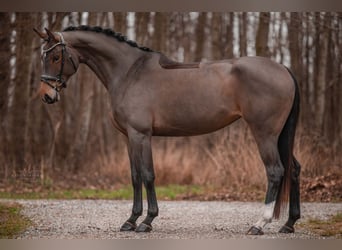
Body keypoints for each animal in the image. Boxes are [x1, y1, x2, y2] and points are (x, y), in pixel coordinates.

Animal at [34, 25, 302, 234]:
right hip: (280, 136)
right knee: (293, 169)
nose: (46, 95)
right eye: (43, 57)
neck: (129, 72)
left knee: (275, 171)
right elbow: (134, 176)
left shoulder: (141, 135)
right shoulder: (128, 137)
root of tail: (284, 69)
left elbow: (148, 175)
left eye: (56, 56)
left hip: (264, 134)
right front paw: (131, 220)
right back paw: (289, 224)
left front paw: (147, 221)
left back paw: (259, 223)